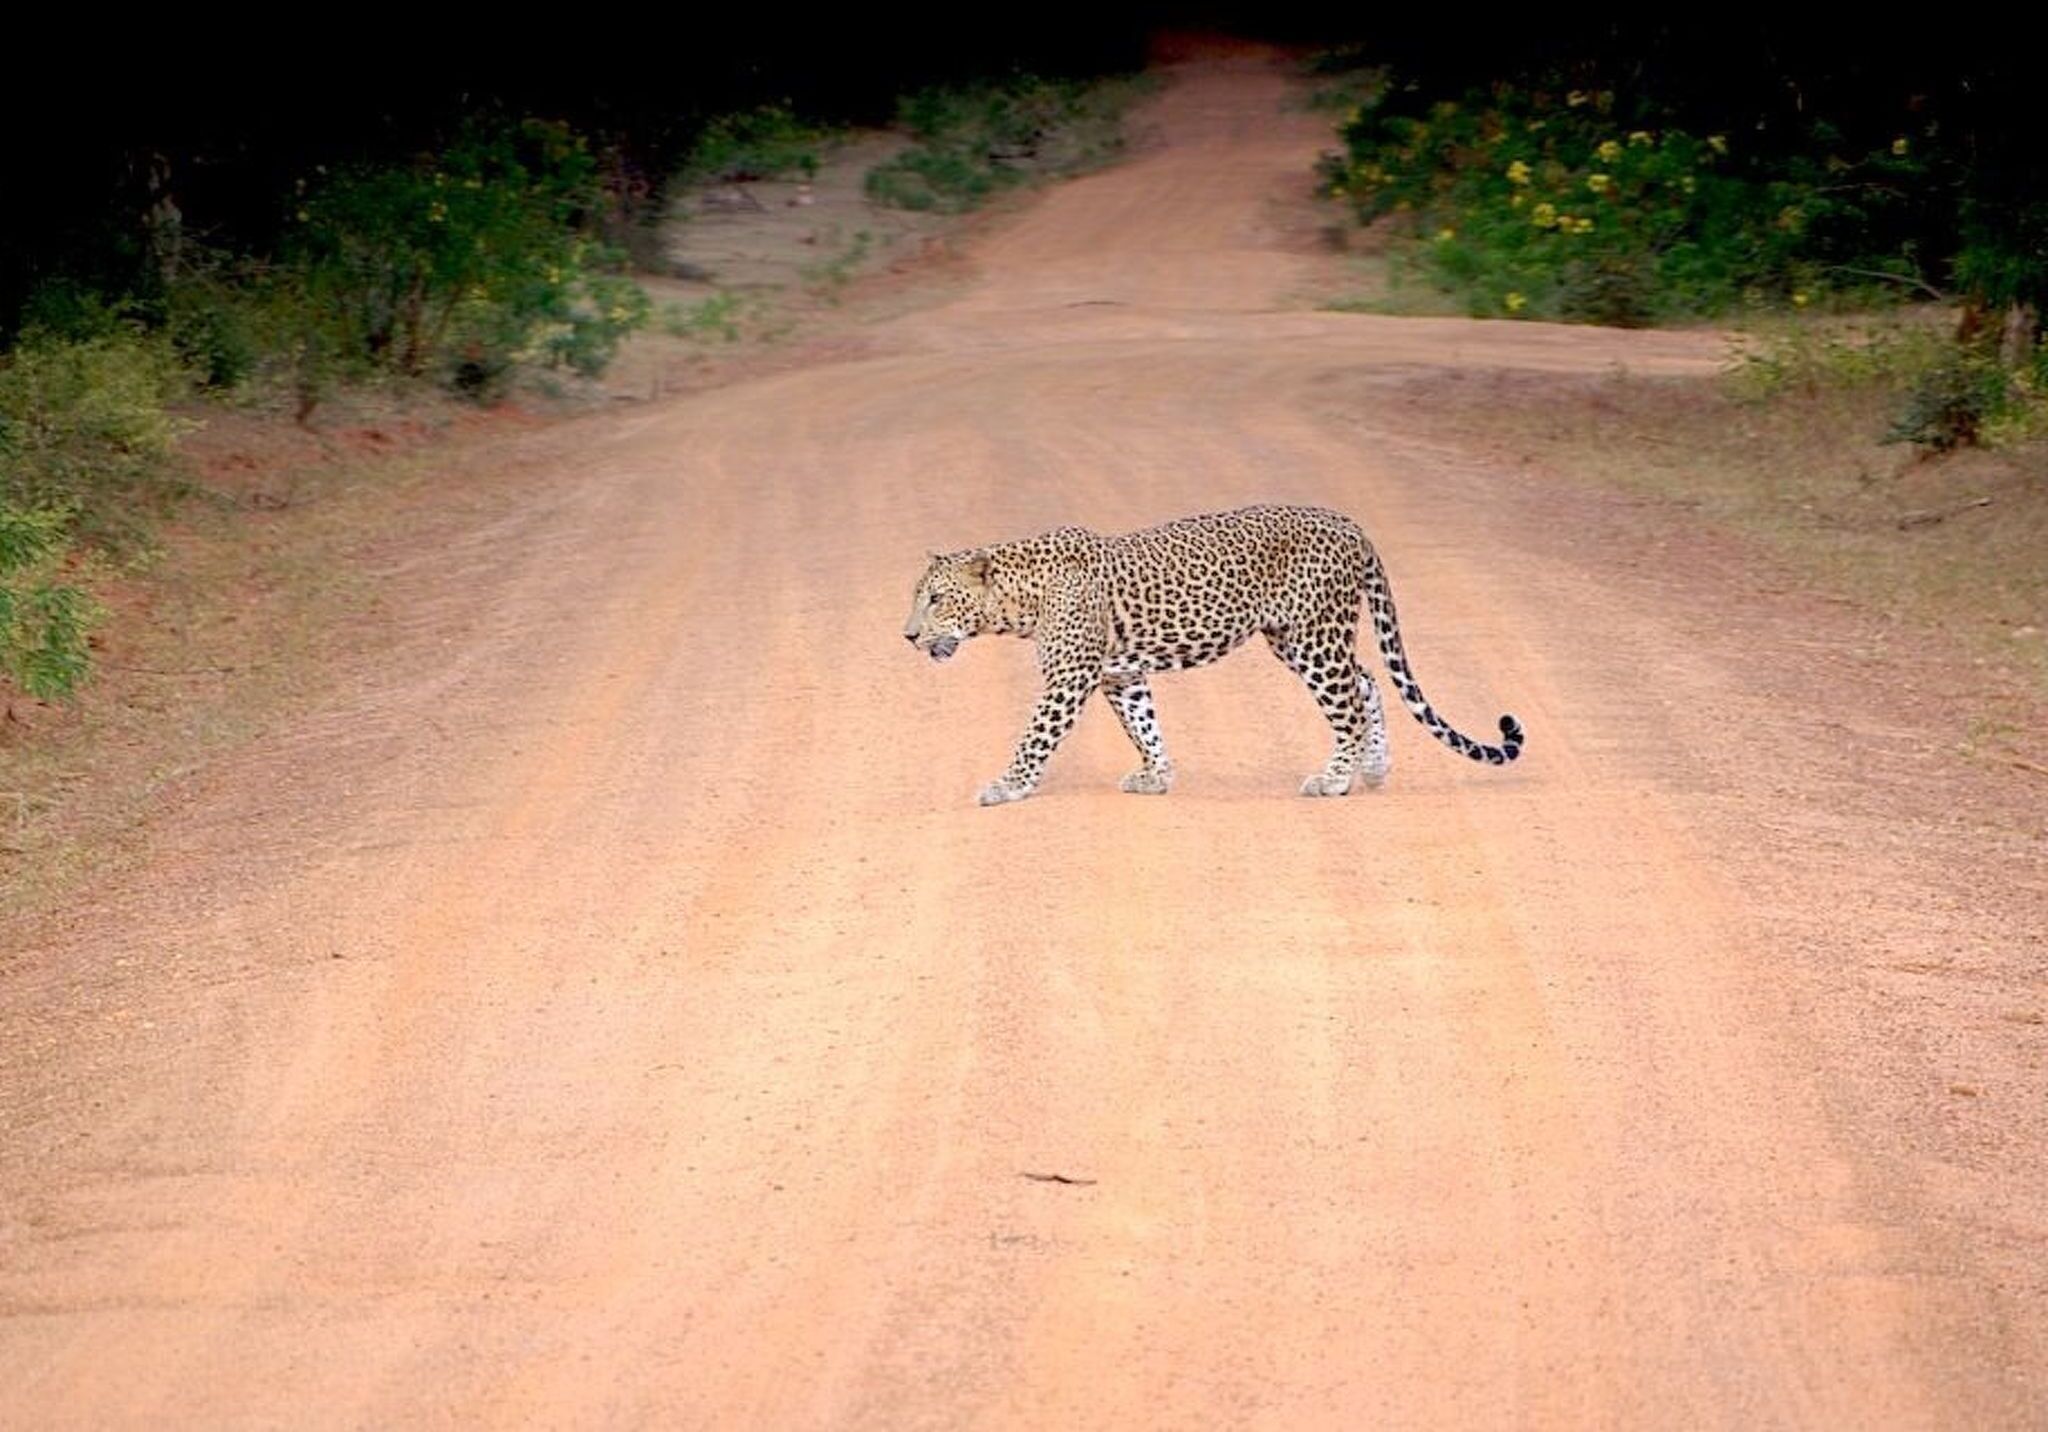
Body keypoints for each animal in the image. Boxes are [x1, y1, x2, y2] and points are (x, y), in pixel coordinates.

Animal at [902, 504, 1524, 805]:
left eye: (935, 598)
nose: (907, 636)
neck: (1019, 600)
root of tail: (1350, 525)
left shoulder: (1068, 679)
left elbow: (1034, 737)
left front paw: (1006, 787)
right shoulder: (1120, 676)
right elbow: (1144, 727)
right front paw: (1158, 776)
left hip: (1315, 636)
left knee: (1348, 703)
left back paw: (1334, 780)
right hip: (1295, 637)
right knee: (1367, 682)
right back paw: (1372, 769)